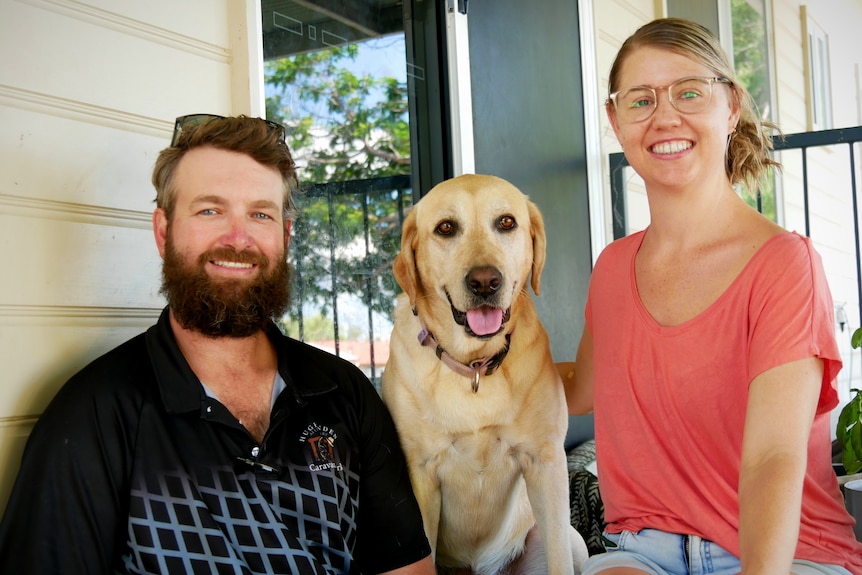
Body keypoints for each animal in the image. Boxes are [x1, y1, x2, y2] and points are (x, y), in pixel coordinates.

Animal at [384, 174, 592, 575]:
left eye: (506, 222)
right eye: (446, 228)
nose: (485, 282)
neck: (474, 367)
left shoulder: (545, 463)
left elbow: (558, 556)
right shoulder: (420, 474)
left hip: (569, 541)